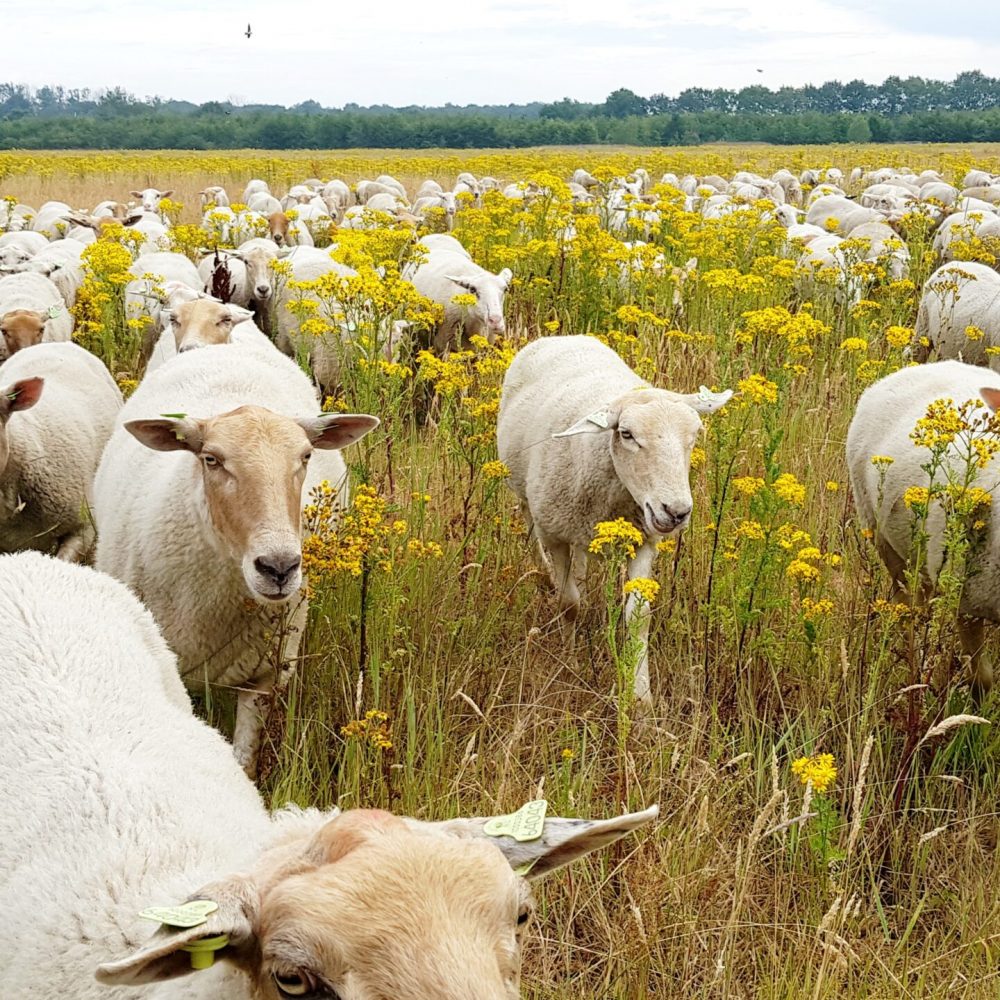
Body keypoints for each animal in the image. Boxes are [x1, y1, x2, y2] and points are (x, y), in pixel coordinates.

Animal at [496, 336, 732, 704]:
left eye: (695, 435)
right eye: (626, 433)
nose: (676, 512)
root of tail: (565, 336)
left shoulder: (646, 538)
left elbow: (639, 616)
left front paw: (641, 695)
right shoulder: (556, 533)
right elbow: (569, 604)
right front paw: (570, 662)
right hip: (526, 493)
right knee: (530, 527)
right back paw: (546, 574)